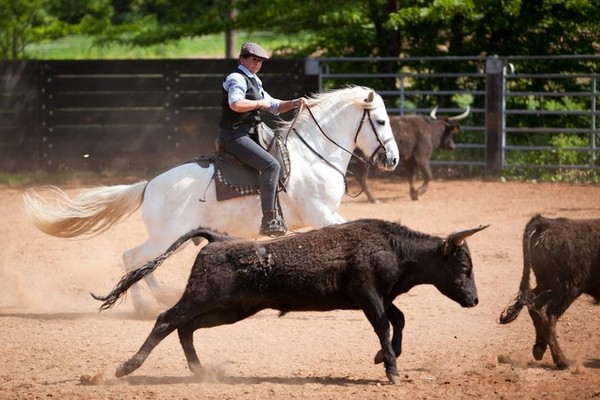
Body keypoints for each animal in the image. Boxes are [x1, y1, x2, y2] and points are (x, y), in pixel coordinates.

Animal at [23, 86, 398, 314]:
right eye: (380, 121)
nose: (392, 160)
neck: (314, 154)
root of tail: (149, 185)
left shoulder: (326, 215)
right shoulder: (321, 214)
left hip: (169, 239)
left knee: (142, 263)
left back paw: (158, 298)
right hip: (166, 237)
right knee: (133, 258)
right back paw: (146, 304)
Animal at [94, 219, 488, 384]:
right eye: (464, 266)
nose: (474, 300)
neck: (392, 247)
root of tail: (216, 240)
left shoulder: (381, 296)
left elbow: (398, 321)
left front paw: (383, 356)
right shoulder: (367, 294)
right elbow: (383, 324)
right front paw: (390, 368)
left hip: (232, 309)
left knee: (186, 327)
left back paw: (200, 370)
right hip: (202, 295)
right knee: (167, 319)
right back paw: (128, 367)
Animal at [496, 216, 600, 368]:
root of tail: (547, 222)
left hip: (547, 284)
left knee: (533, 303)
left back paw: (539, 347)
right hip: (567, 288)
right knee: (548, 315)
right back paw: (562, 361)